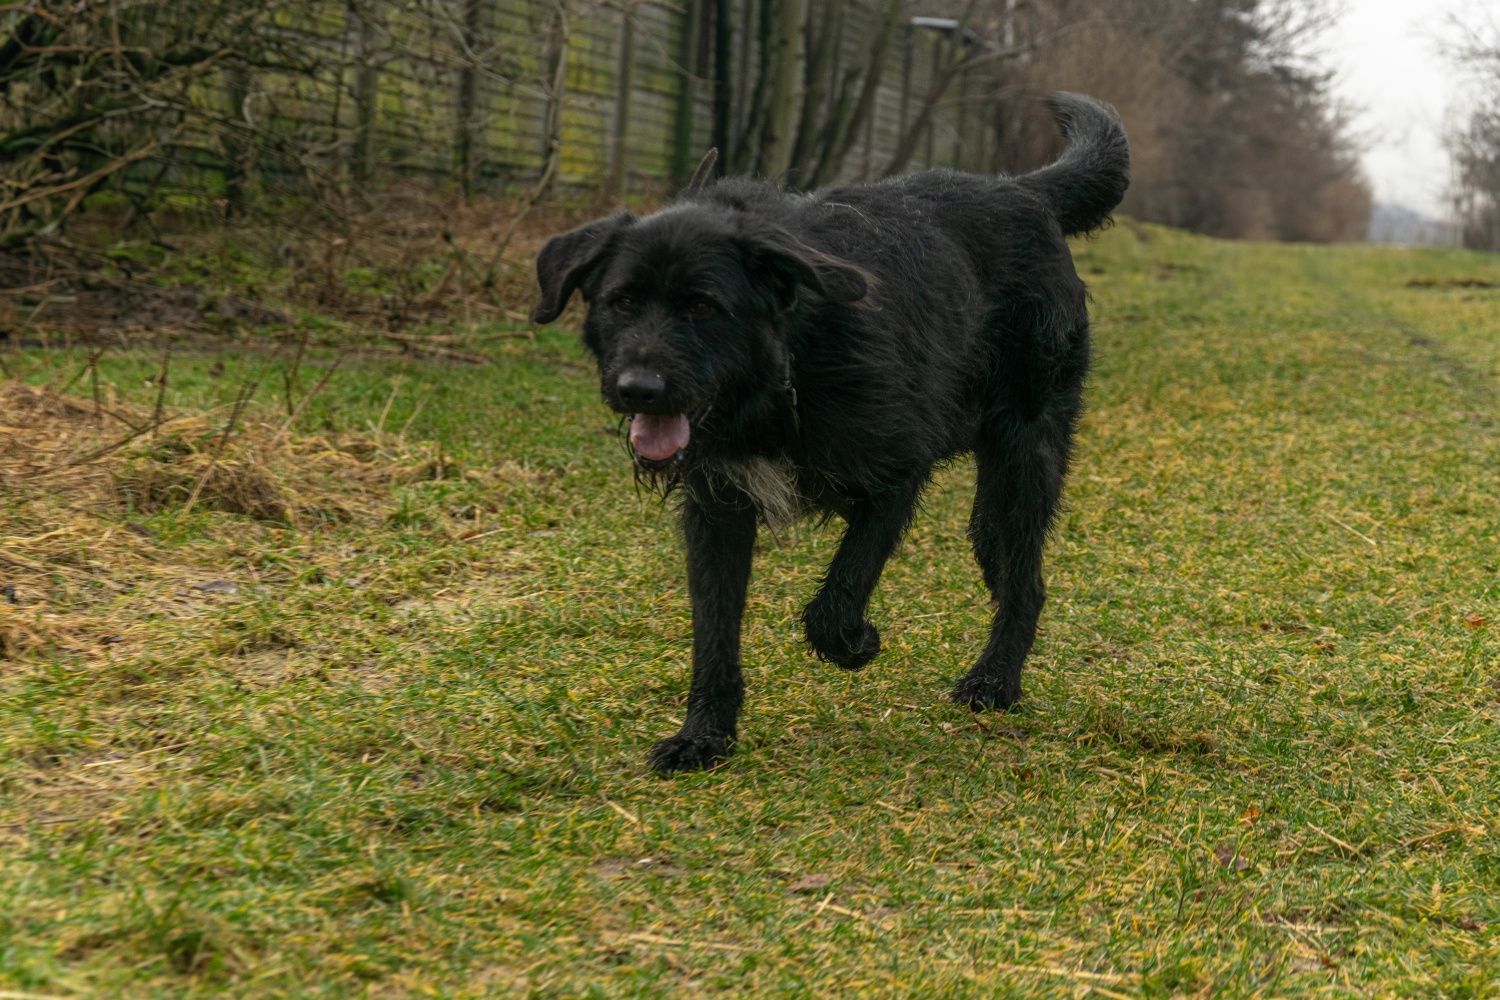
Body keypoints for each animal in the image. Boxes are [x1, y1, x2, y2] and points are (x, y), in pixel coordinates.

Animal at [534, 93, 1128, 773]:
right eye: (621, 302)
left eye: (704, 307)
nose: (638, 389)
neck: (786, 365)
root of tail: (1024, 190)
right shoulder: (716, 510)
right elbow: (714, 630)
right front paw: (705, 735)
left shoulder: (897, 477)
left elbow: (836, 596)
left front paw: (856, 641)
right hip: (995, 490)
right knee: (1001, 560)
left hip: (1029, 456)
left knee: (1028, 583)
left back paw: (995, 680)